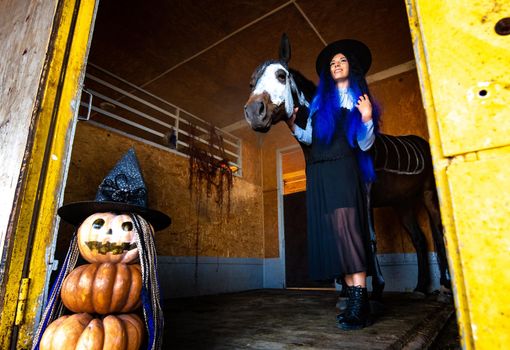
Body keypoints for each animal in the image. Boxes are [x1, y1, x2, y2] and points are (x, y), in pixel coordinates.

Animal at [243, 34, 450, 300]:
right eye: (251, 83)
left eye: (281, 75)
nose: (254, 113)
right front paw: (344, 290)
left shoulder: (365, 190)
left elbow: (369, 236)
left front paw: (376, 288)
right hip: (401, 203)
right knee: (419, 239)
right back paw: (420, 289)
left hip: (428, 194)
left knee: (440, 232)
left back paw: (445, 286)